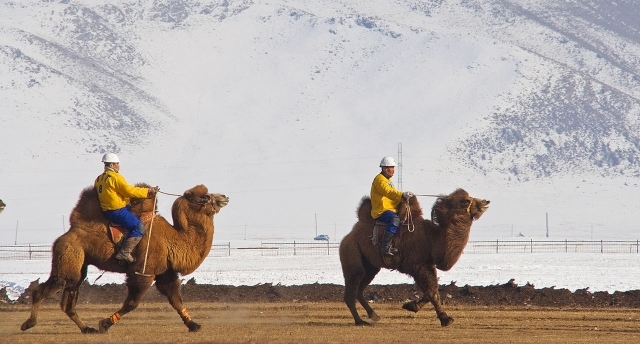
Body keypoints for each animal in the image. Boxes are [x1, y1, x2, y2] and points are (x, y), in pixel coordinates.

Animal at [20, 185, 230, 334]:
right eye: (205, 196)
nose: (225, 197)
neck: (174, 239)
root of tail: (65, 236)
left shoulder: (165, 272)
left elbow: (176, 299)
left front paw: (193, 324)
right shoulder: (144, 271)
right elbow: (132, 303)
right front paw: (105, 324)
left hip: (80, 266)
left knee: (68, 301)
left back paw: (87, 329)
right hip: (69, 258)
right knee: (47, 288)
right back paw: (29, 323)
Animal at [340, 189, 490, 326]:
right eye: (466, 201)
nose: (486, 201)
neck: (432, 239)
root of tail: (347, 237)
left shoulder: (428, 264)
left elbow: (432, 290)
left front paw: (411, 306)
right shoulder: (418, 266)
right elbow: (432, 292)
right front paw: (445, 319)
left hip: (371, 266)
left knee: (360, 289)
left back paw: (373, 315)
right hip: (352, 256)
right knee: (351, 291)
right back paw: (360, 321)